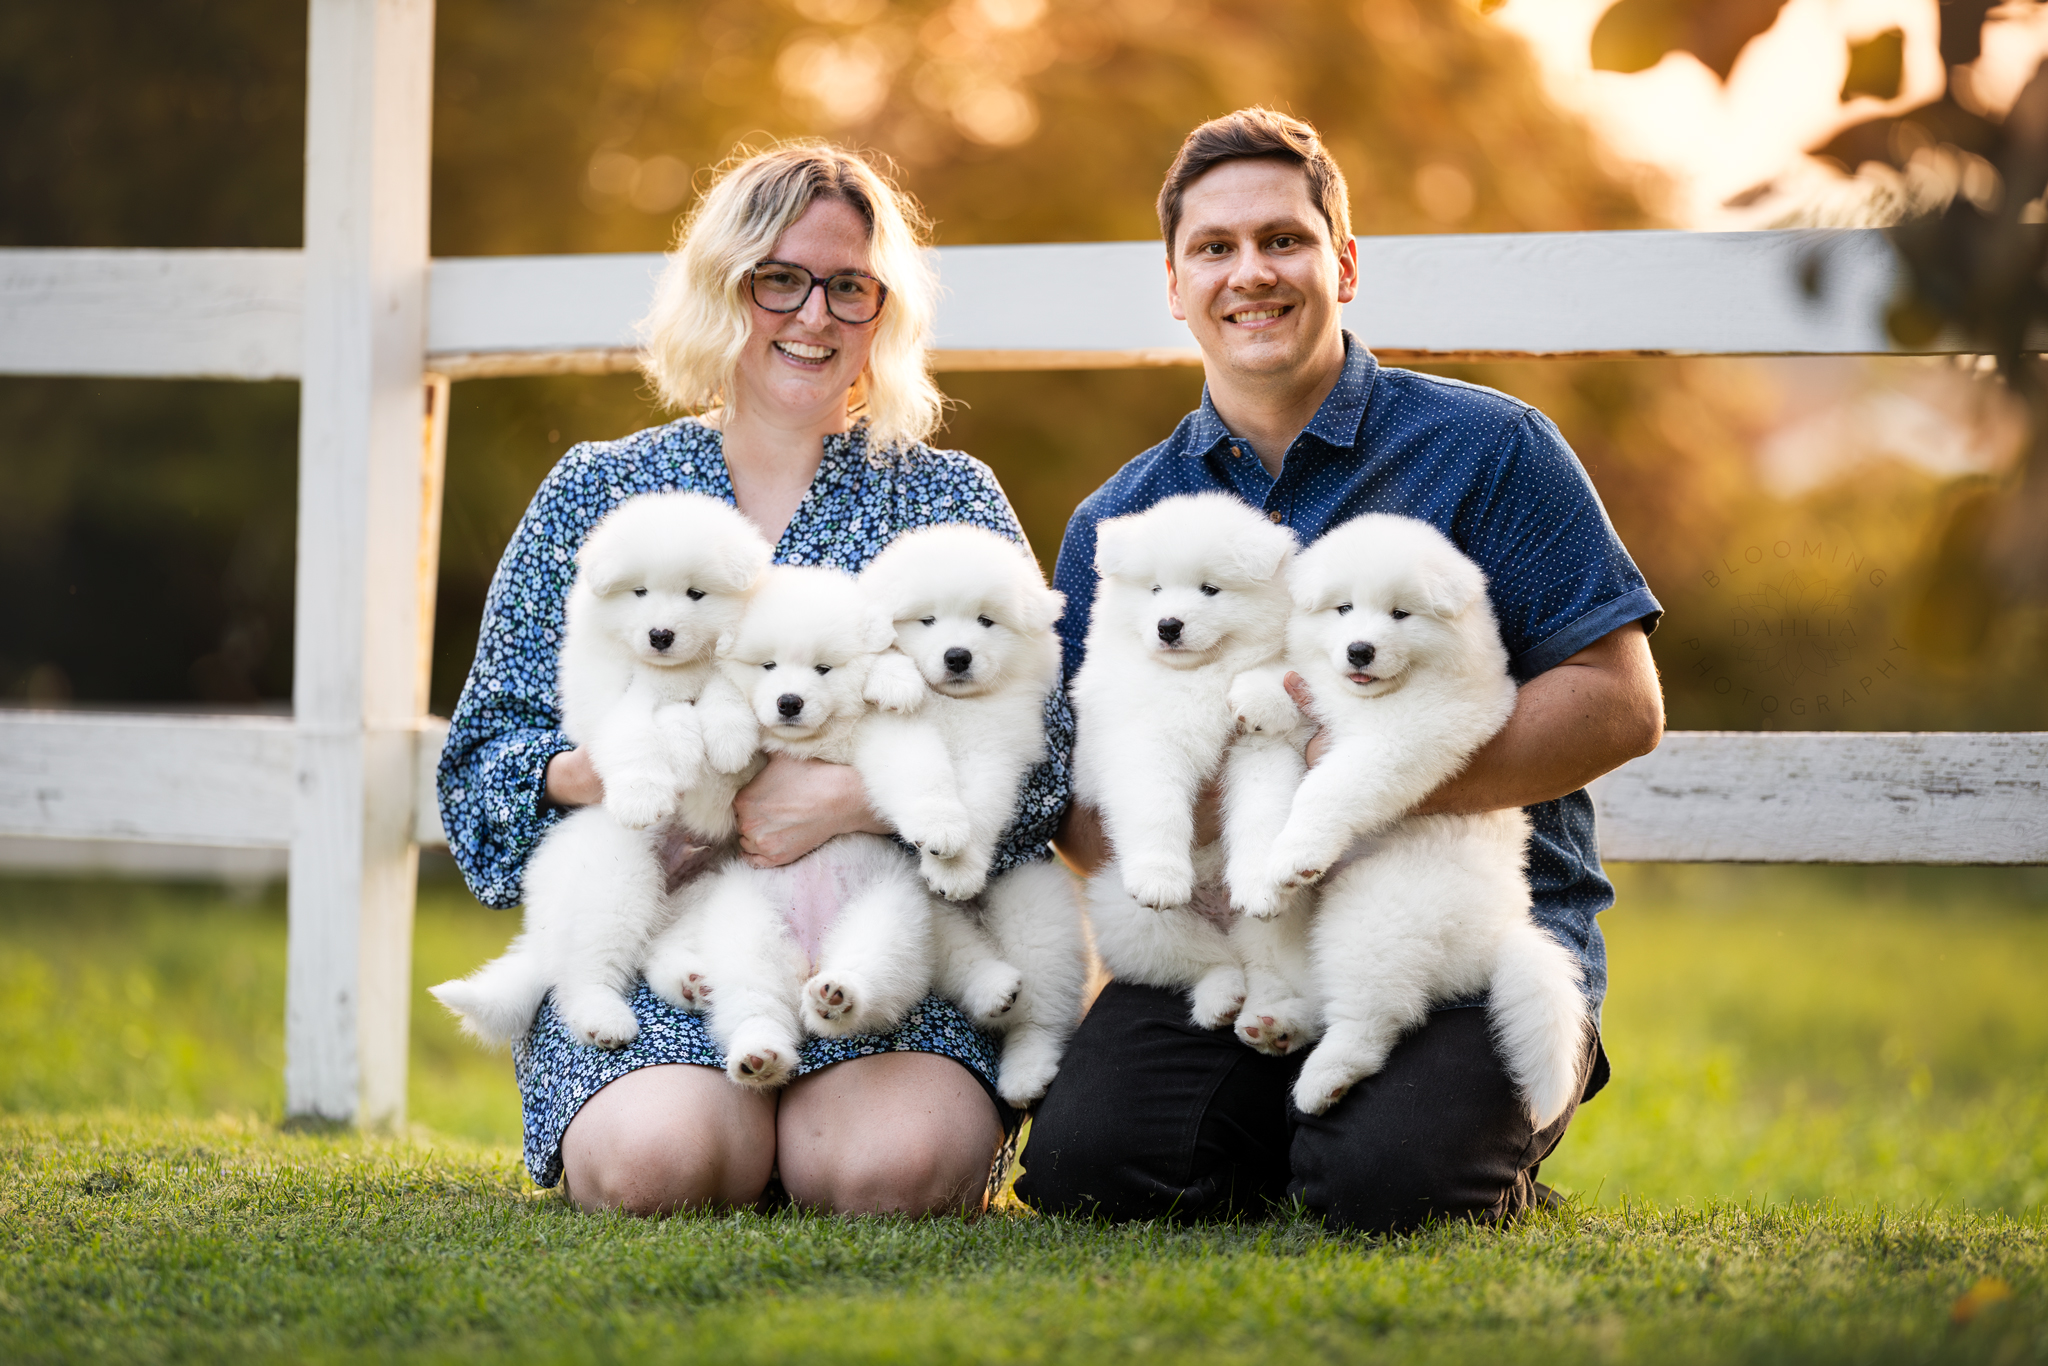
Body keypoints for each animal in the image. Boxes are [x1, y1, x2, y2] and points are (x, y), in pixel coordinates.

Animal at [423, 491, 770, 1048]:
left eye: (696, 594)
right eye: (639, 591)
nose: (660, 634)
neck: (673, 671)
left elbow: (726, 692)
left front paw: (727, 736)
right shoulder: (607, 703)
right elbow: (639, 730)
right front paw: (654, 780)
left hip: (712, 889)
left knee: (656, 948)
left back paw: (689, 981)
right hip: (613, 877)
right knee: (582, 975)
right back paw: (603, 1017)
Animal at [638, 565, 937, 1089]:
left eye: (823, 669)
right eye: (768, 666)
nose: (789, 702)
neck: (807, 744)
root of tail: (809, 958)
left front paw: (894, 678)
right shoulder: (722, 801)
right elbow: (723, 734)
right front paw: (729, 733)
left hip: (888, 918)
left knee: (869, 974)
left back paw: (836, 997)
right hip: (747, 935)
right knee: (755, 1006)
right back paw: (759, 1056)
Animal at [1073, 497, 1294, 1032]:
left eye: (1210, 589)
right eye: (1154, 589)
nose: (1168, 625)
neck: (1197, 675)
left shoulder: (1263, 750)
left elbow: (1264, 813)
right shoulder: (1143, 742)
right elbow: (1157, 807)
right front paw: (1160, 876)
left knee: (1269, 971)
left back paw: (1273, 1022)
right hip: (1124, 914)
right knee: (1210, 961)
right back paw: (1223, 999)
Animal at [1228, 518, 1581, 1130]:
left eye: (1400, 614)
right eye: (1344, 608)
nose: (1359, 650)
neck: (1374, 698)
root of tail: (1501, 934)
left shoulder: (1396, 744)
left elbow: (1326, 789)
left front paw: (1296, 854)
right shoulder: (1317, 705)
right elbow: (1293, 687)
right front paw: (1255, 692)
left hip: (1377, 910)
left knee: (1369, 1019)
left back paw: (1323, 1078)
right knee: (1316, 989)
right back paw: (1277, 1026)